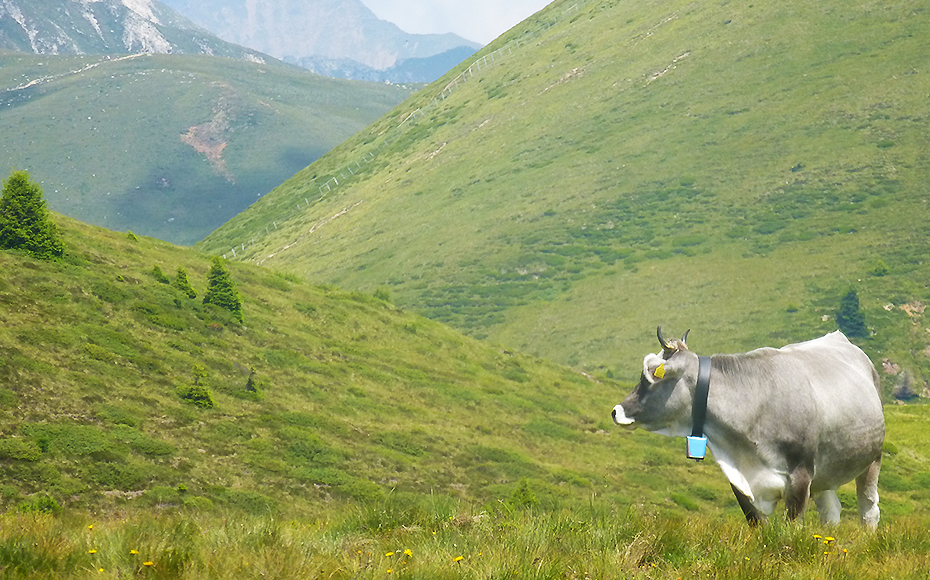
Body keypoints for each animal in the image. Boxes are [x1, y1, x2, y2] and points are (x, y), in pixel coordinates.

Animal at [612, 328, 880, 528]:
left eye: (649, 376)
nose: (616, 411)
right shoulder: (740, 481)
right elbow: (757, 524)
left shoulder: (801, 475)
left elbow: (792, 527)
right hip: (824, 473)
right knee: (831, 513)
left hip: (871, 460)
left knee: (869, 509)